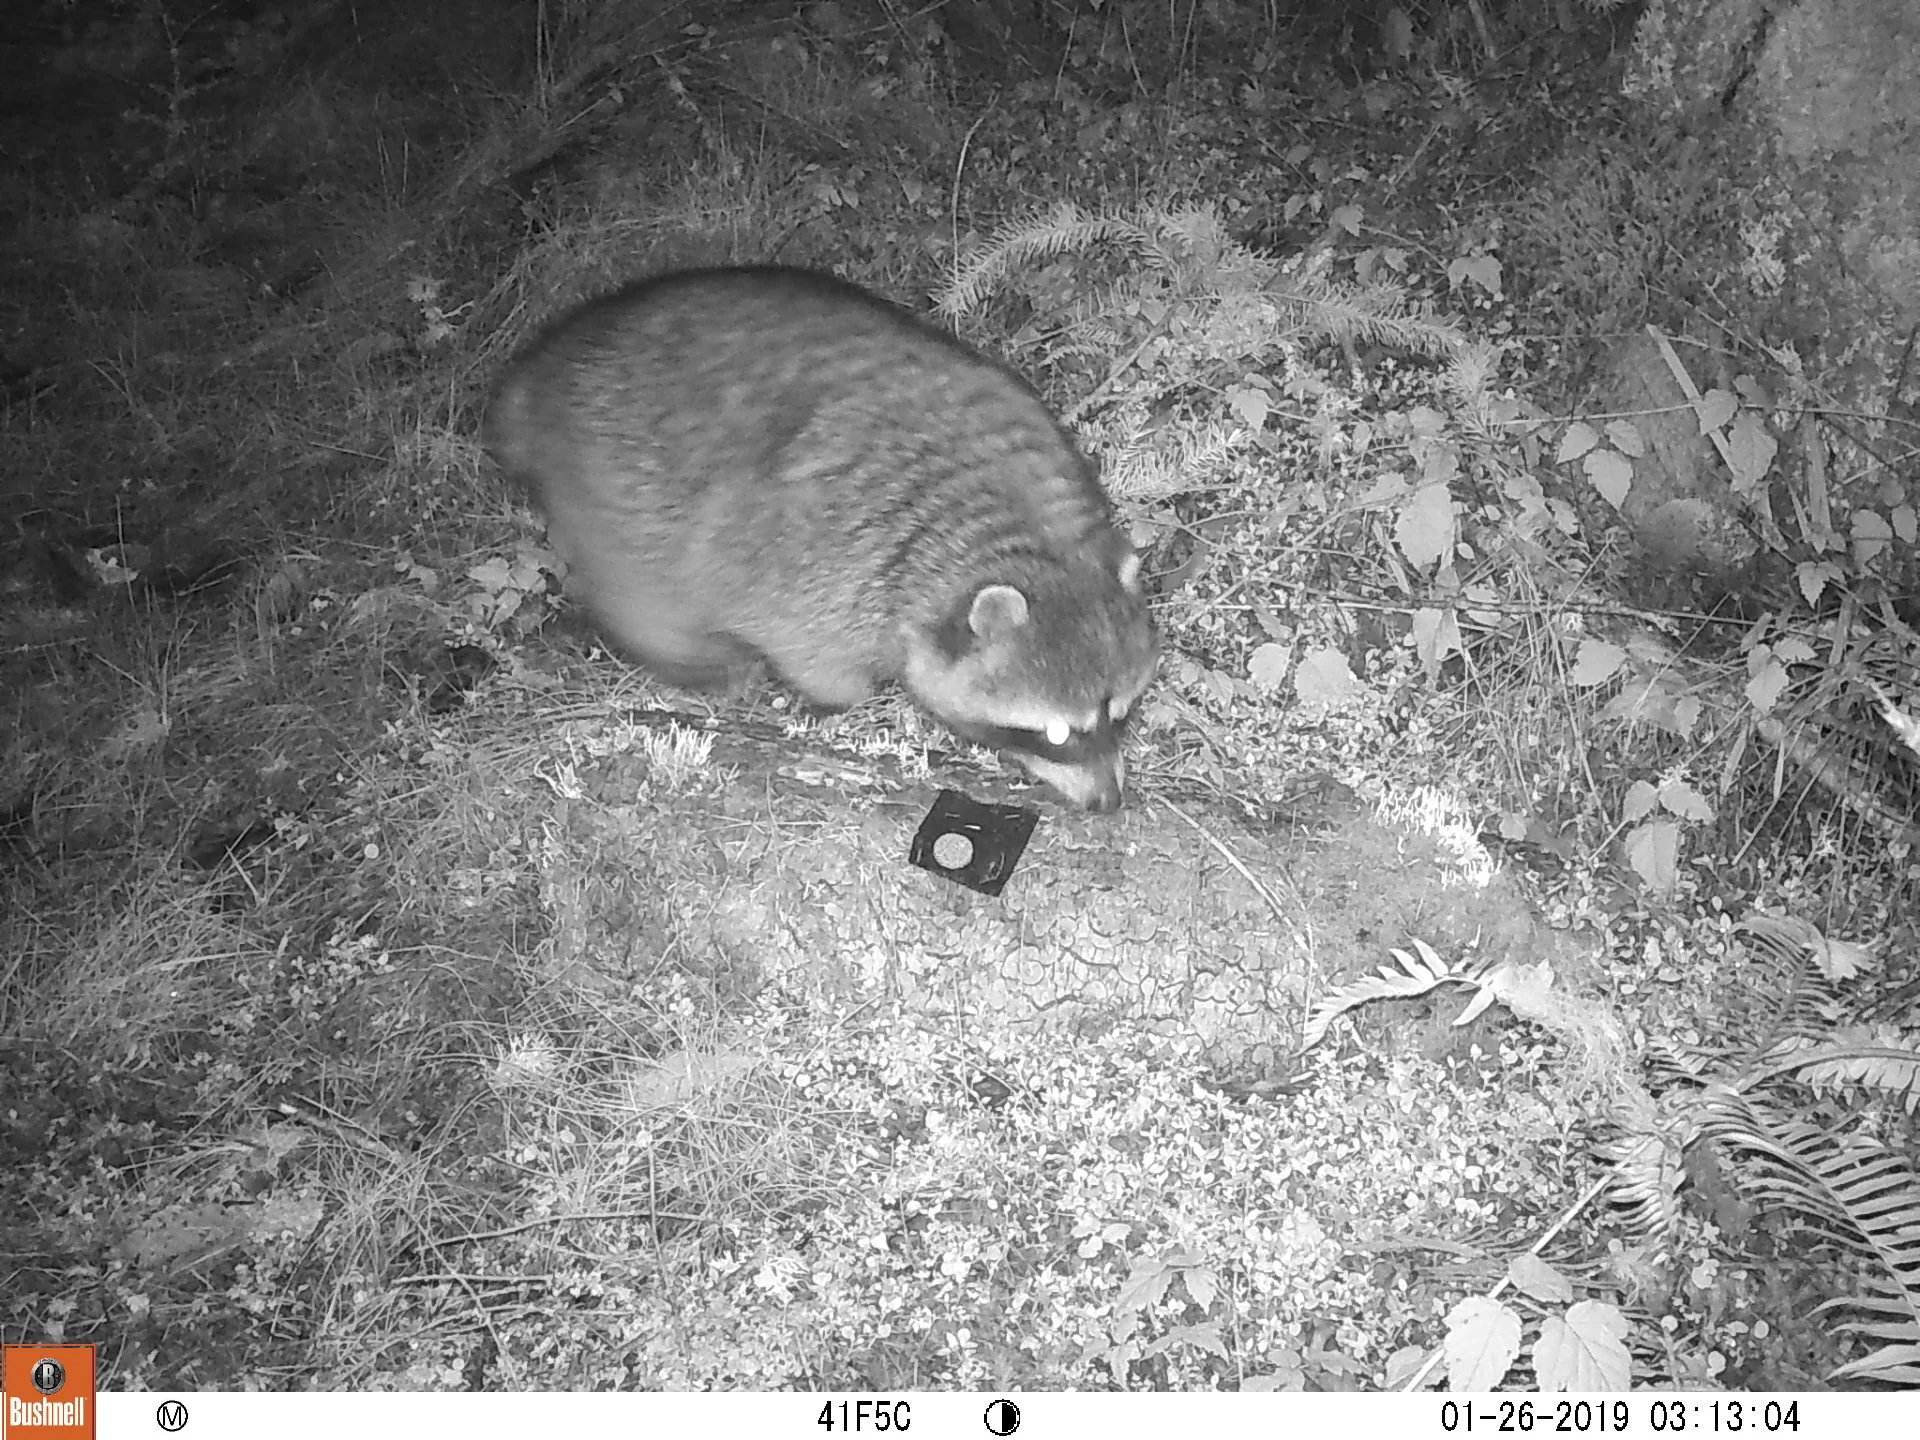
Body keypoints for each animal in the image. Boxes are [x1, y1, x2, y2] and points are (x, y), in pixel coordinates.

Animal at [485, 265, 1158, 810]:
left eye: (1120, 713)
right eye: (1055, 733)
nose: (1108, 803)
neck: (1025, 539)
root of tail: (554, 363)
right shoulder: (822, 566)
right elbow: (819, 659)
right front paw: (831, 695)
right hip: (613, 487)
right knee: (647, 599)